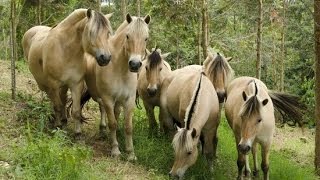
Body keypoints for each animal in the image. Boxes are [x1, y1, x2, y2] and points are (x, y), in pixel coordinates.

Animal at [80, 13, 151, 160]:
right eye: (128, 36)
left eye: (146, 38)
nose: (135, 64)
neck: (119, 68)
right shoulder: (107, 98)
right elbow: (112, 123)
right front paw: (115, 150)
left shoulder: (129, 100)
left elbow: (128, 126)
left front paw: (130, 153)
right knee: (102, 109)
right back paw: (103, 131)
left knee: (114, 112)